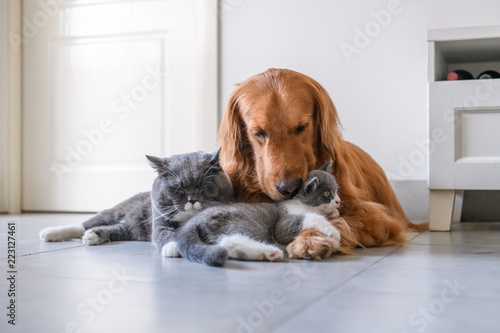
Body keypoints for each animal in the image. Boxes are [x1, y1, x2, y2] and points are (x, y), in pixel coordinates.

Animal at [39, 147, 234, 250]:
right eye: (177, 188)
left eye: (203, 186)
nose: (192, 200)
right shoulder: (159, 221)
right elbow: (164, 235)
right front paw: (172, 247)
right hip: (116, 212)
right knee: (85, 223)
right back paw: (49, 233)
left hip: (132, 230)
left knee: (114, 229)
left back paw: (92, 236)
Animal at [166, 160, 342, 266]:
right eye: (327, 193)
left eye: (336, 190)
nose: (338, 201)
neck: (300, 204)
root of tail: (193, 220)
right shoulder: (282, 224)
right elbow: (305, 219)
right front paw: (332, 231)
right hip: (245, 222)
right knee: (230, 239)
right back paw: (270, 252)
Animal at [217, 68, 428, 258]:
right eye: (259, 132)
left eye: (301, 127)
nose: (290, 188)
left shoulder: (376, 219)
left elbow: (331, 218)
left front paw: (311, 239)